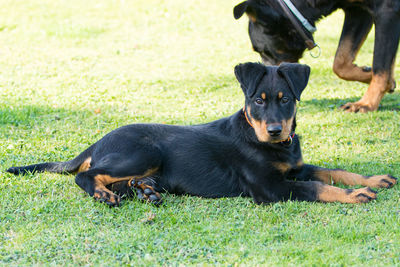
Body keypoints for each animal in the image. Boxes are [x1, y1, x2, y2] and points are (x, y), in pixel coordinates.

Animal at [6, 62, 396, 207]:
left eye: (285, 100)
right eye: (258, 100)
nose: (275, 131)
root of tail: (98, 141)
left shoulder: (295, 168)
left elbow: (331, 170)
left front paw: (372, 179)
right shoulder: (269, 188)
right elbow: (316, 185)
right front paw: (357, 193)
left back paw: (144, 191)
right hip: (144, 152)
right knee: (87, 175)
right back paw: (105, 193)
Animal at [234, 0, 400, 113]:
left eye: (264, 51)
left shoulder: (387, 9)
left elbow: (380, 64)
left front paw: (366, 104)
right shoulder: (357, 10)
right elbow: (341, 61)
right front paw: (383, 79)